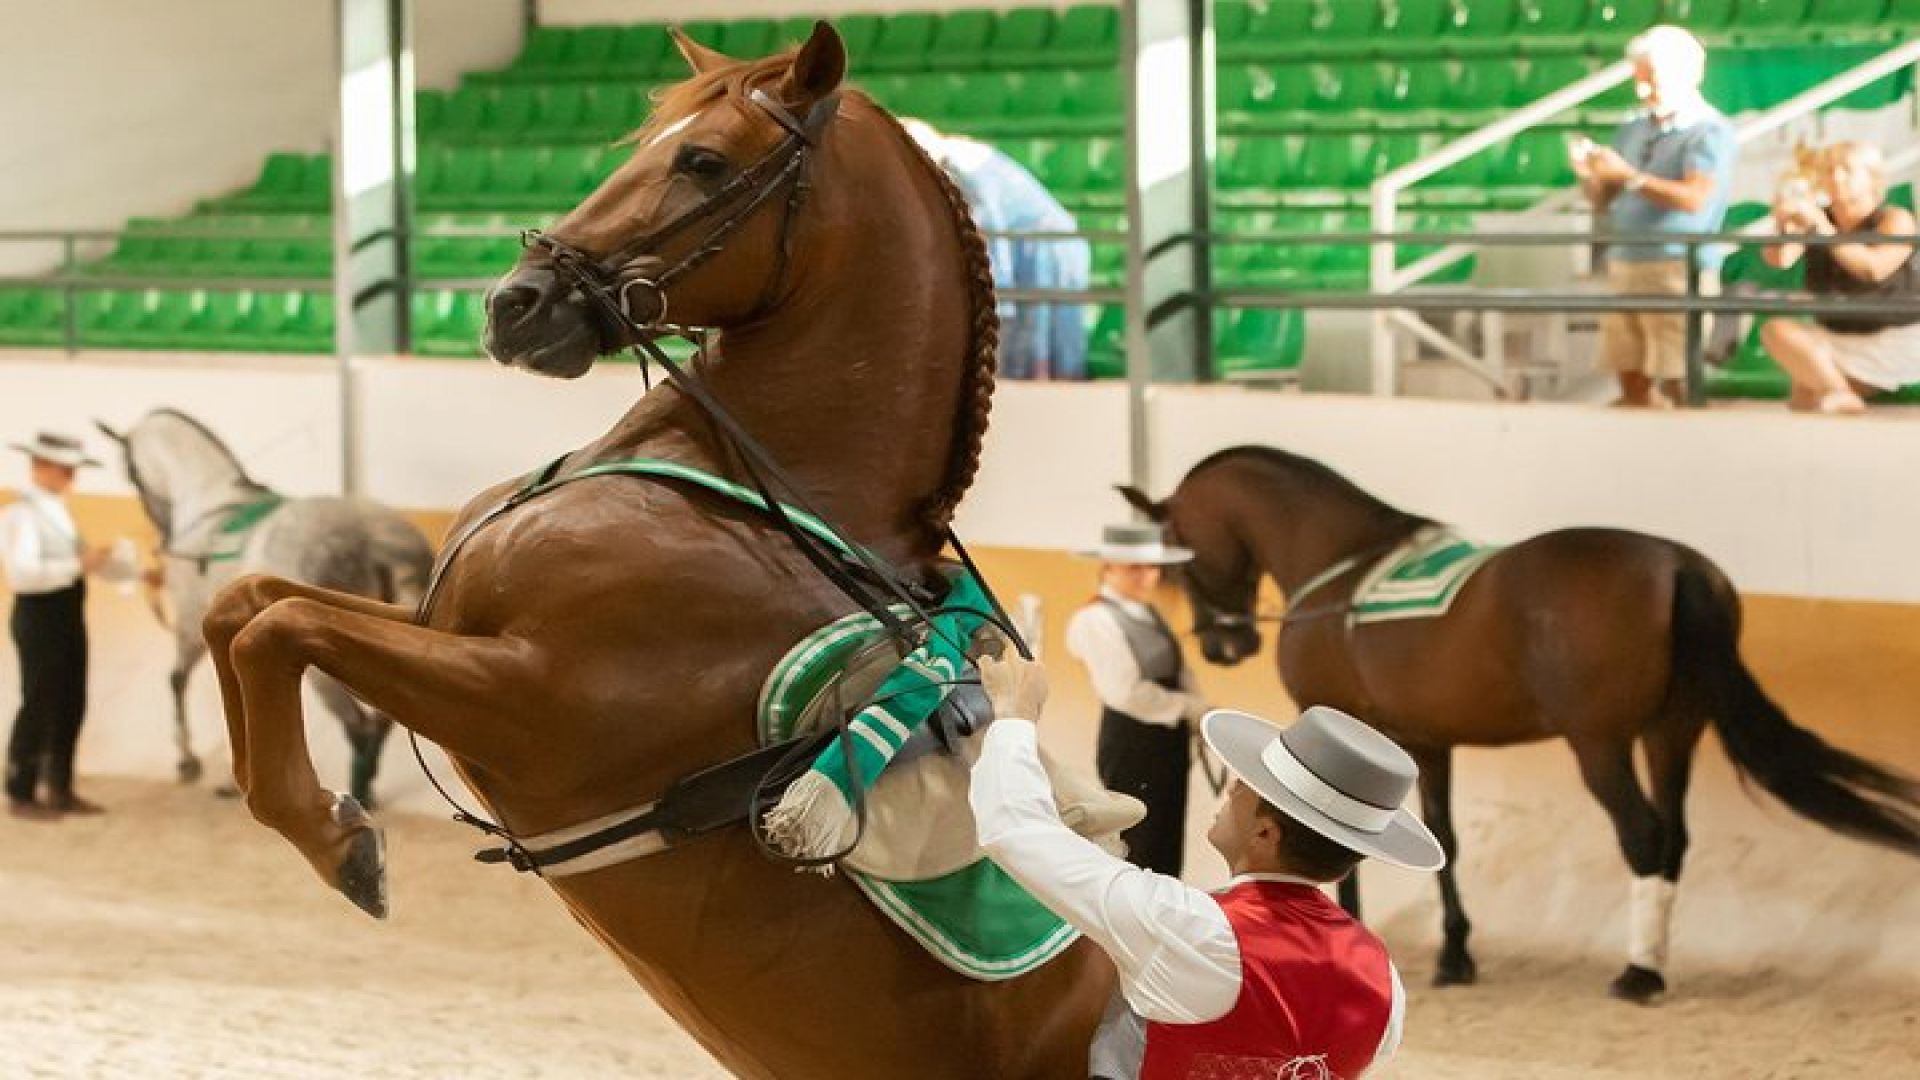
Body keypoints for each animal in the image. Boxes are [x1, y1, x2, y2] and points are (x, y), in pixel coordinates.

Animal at [94, 409, 433, 807]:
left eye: (131, 471)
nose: (163, 532)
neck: (212, 509)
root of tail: (376, 541)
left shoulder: (193, 623)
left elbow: (179, 680)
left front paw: (189, 761)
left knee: (359, 726)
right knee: (381, 720)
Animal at [199, 24, 1111, 1079]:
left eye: (703, 160)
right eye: (641, 143)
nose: (514, 303)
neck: (738, 489)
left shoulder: (530, 694)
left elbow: (285, 627)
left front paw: (337, 838)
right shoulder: (444, 620)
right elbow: (246, 604)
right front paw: (307, 812)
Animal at [1121, 445, 1920, 1004]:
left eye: (1180, 554)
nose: (1224, 646)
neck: (1340, 564)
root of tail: (1679, 566)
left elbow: (1332, 836)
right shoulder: (1425, 741)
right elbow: (1444, 836)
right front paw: (1455, 954)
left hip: (1599, 743)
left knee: (1643, 835)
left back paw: (1638, 973)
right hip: (1672, 733)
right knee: (1674, 836)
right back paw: (1654, 959)